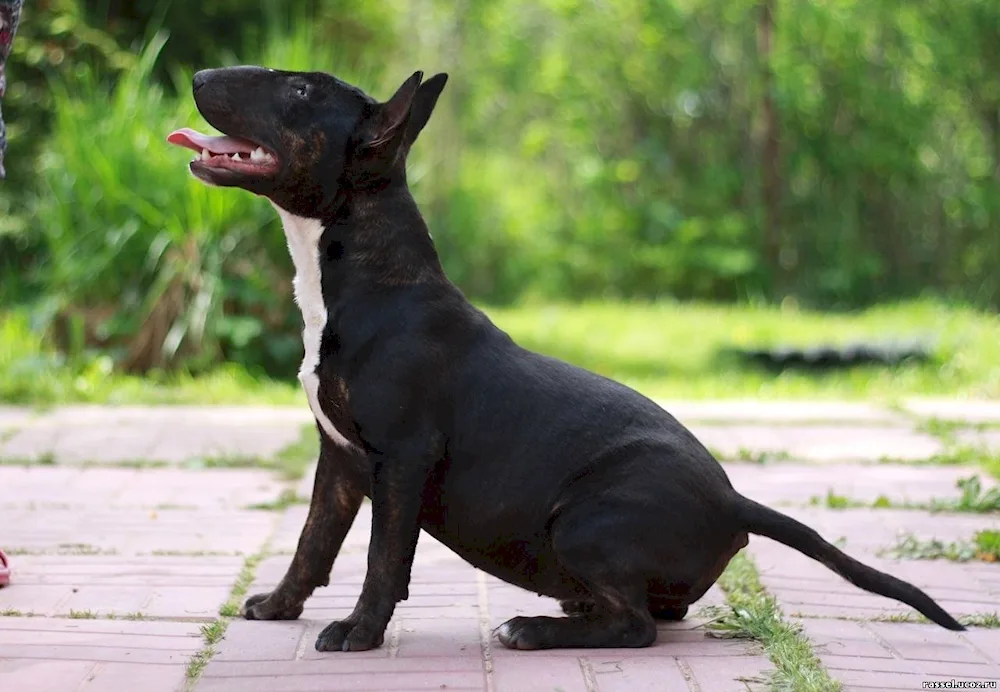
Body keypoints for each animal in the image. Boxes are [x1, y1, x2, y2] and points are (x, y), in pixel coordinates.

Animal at [168, 67, 964, 652]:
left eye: (300, 92)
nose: (199, 73)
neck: (362, 279)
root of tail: (736, 501)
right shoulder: (337, 460)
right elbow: (313, 543)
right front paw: (279, 605)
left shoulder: (401, 459)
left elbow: (381, 558)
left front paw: (359, 634)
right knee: (656, 613)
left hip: (583, 522)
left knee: (640, 627)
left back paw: (532, 628)